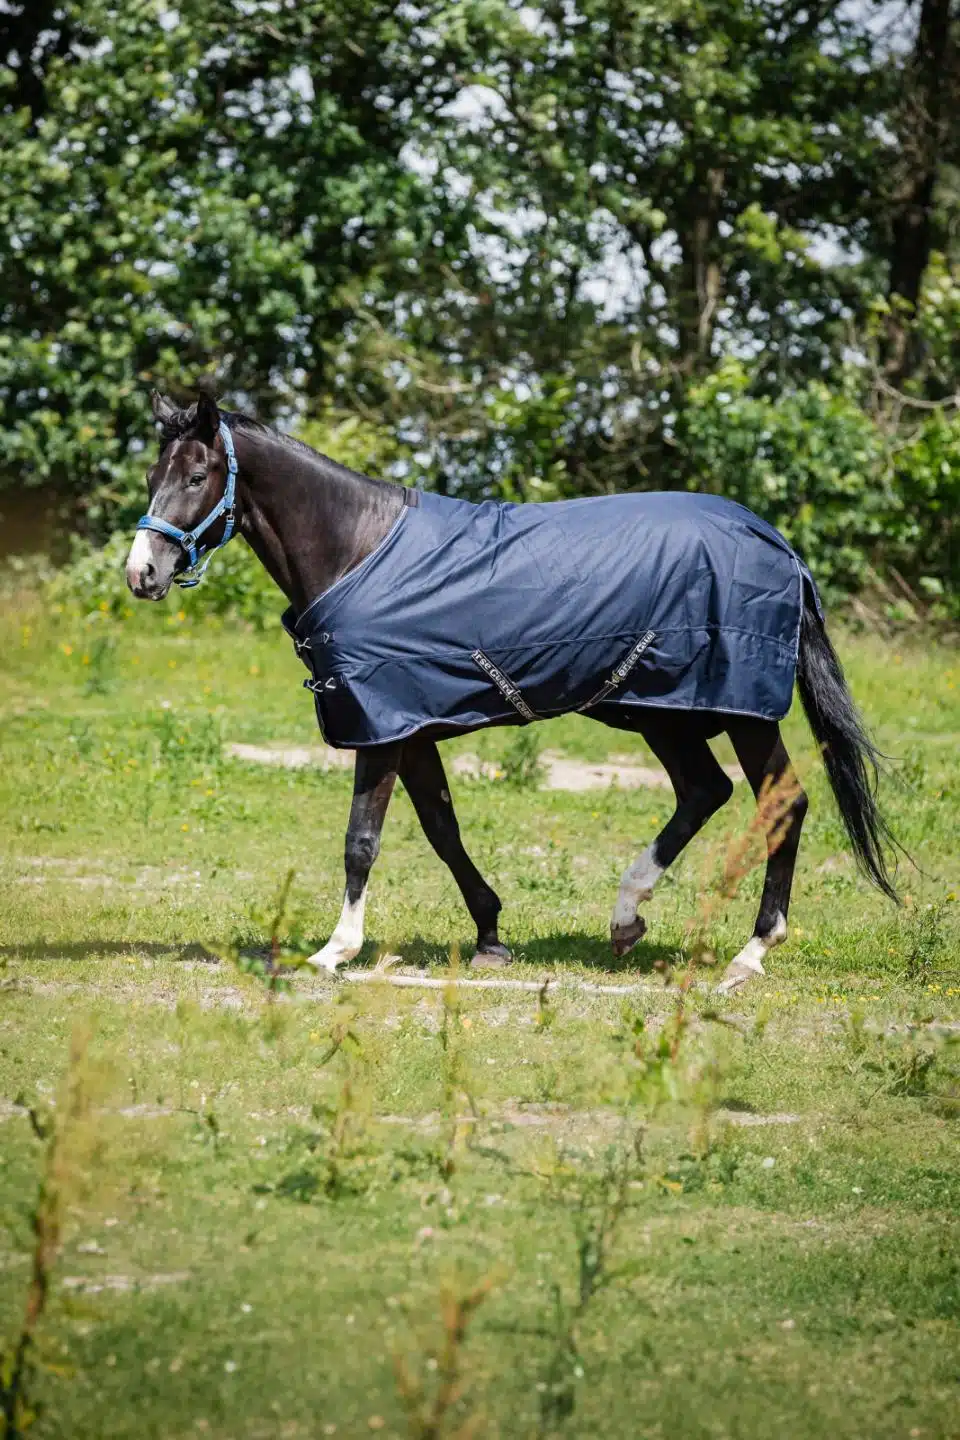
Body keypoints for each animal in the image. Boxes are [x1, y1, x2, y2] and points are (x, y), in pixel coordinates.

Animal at [125, 390, 898, 993]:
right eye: (153, 474)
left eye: (197, 474)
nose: (142, 573)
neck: (358, 550)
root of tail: (781, 548)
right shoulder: (411, 729)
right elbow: (442, 830)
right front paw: (490, 934)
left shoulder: (381, 729)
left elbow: (361, 841)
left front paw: (333, 952)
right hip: (664, 710)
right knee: (705, 791)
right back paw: (627, 918)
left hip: (737, 711)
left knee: (782, 801)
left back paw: (751, 951)